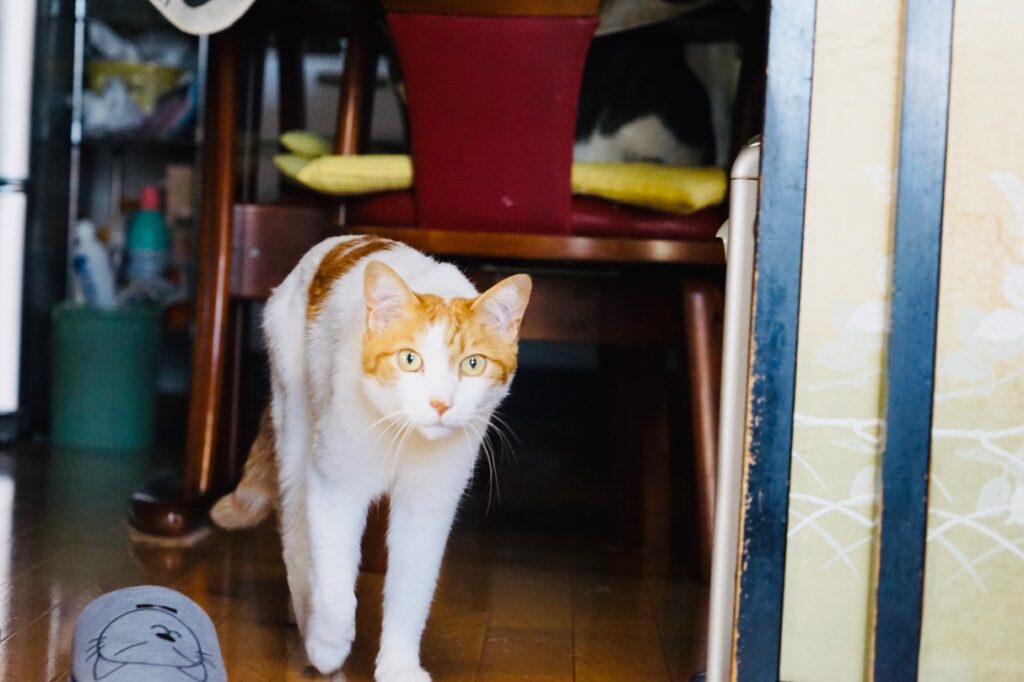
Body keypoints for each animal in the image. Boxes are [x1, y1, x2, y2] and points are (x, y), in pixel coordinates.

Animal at [211, 235, 531, 681]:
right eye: (409, 359)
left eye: (473, 364)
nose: (440, 404)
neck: (406, 436)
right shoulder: (335, 488)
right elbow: (333, 584)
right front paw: (327, 646)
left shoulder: (428, 505)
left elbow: (411, 590)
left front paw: (398, 666)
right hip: (295, 428)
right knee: (296, 537)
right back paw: (305, 615)